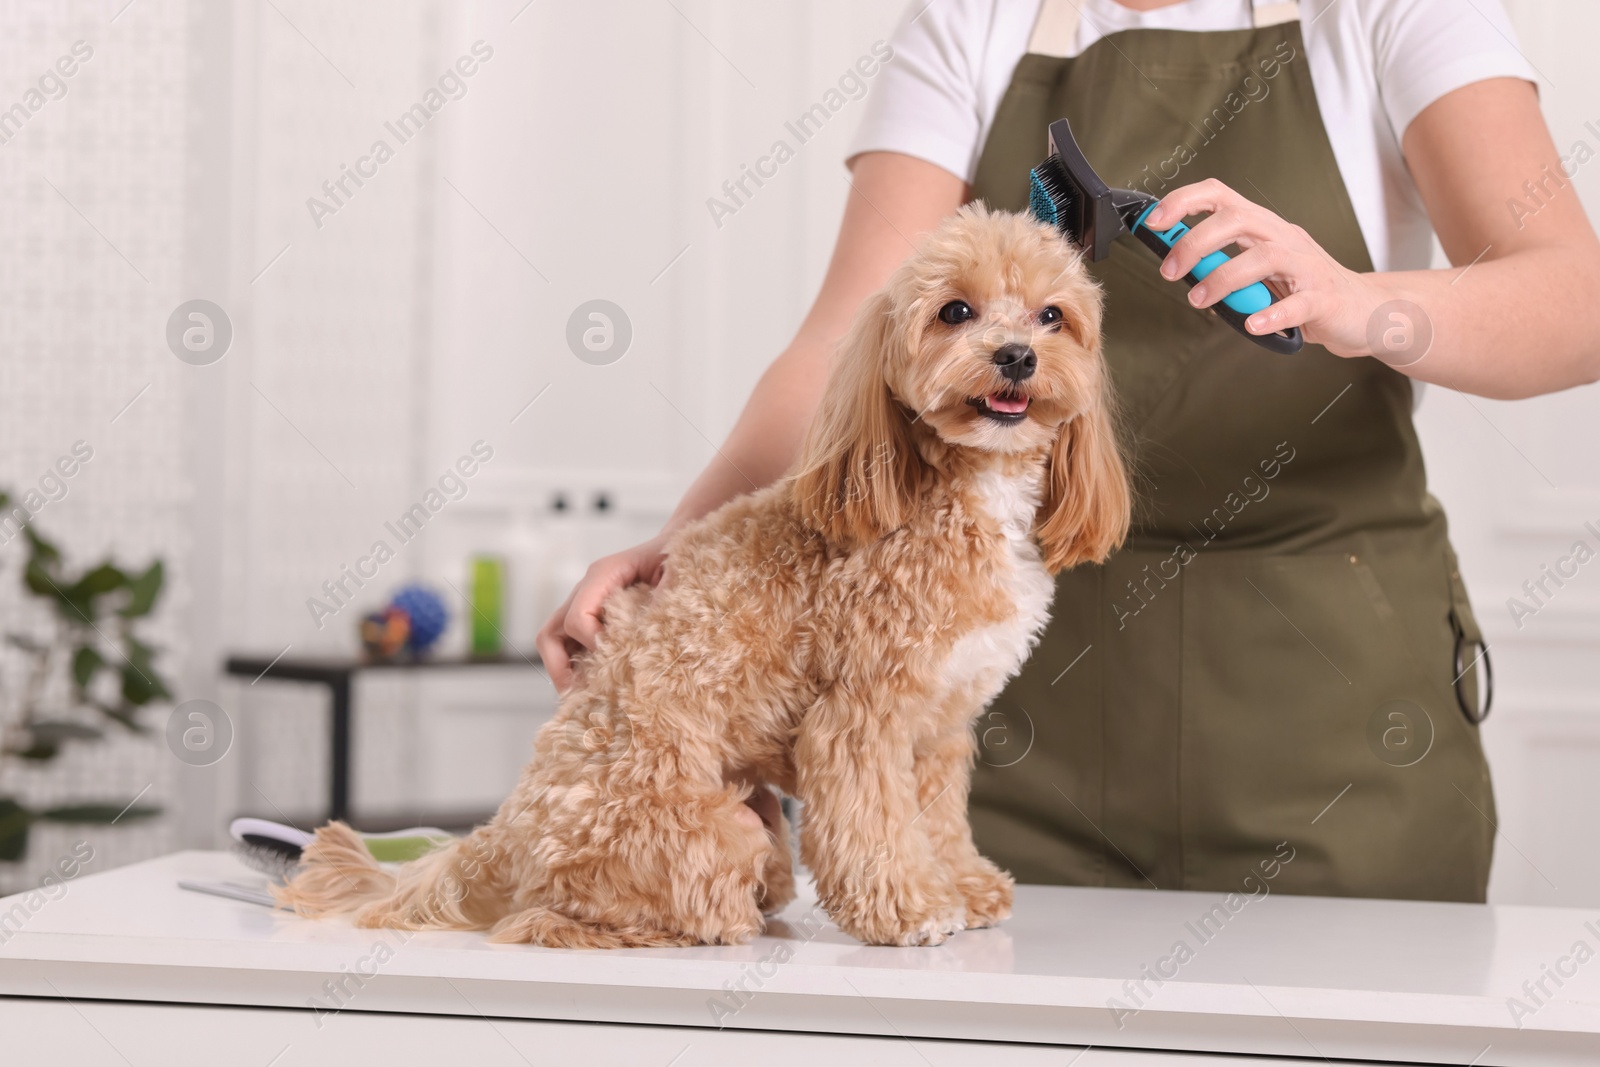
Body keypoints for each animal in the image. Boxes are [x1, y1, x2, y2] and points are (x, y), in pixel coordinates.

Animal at [278, 206, 1126, 953]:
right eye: (956, 310)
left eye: (1053, 316)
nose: (1016, 355)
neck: (962, 491)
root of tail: (504, 830)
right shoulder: (861, 716)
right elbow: (876, 825)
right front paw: (908, 908)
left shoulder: (943, 723)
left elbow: (938, 818)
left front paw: (962, 885)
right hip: (712, 832)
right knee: (554, 915)